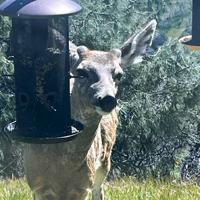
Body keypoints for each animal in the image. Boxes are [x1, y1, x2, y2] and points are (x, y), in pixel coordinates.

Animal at [23, 19, 157, 200]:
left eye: (119, 75)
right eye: (81, 72)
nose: (107, 99)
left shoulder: (83, 185)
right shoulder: (37, 184)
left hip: (104, 162)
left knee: (100, 190)